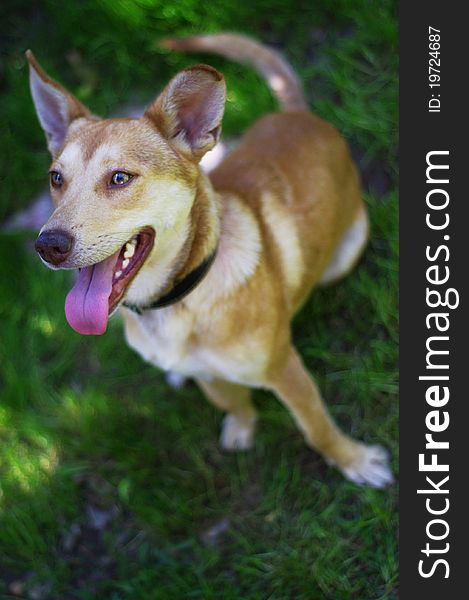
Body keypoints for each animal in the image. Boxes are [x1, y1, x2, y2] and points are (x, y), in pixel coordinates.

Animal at [25, 32, 392, 488]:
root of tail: (301, 115)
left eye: (120, 178)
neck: (172, 304)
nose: (48, 245)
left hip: (345, 252)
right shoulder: (210, 375)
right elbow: (230, 399)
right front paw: (242, 425)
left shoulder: (285, 369)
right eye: (56, 178)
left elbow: (317, 428)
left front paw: (353, 460)